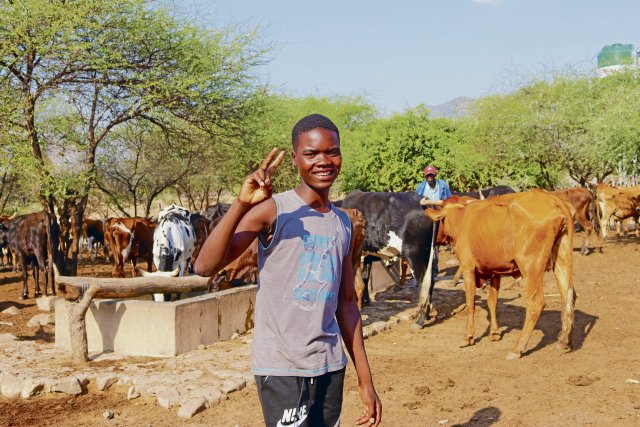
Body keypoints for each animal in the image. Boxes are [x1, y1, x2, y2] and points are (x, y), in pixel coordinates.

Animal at [342, 191, 438, 328]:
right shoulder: (367, 256)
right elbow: (366, 277)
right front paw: (366, 301)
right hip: (427, 253)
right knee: (431, 281)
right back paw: (428, 314)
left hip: (413, 254)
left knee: (423, 282)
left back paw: (420, 320)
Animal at [424, 191, 576, 362]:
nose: (435, 239)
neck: (461, 217)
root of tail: (549, 197)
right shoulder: (496, 270)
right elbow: (492, 301)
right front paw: (495, 333)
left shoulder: (468, 267)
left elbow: (470, 302)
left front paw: (468, 337)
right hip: (561, 258)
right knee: (568, 296)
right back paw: (564, 341)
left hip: (531, 266)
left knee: (536, 303)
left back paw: (517, 348)